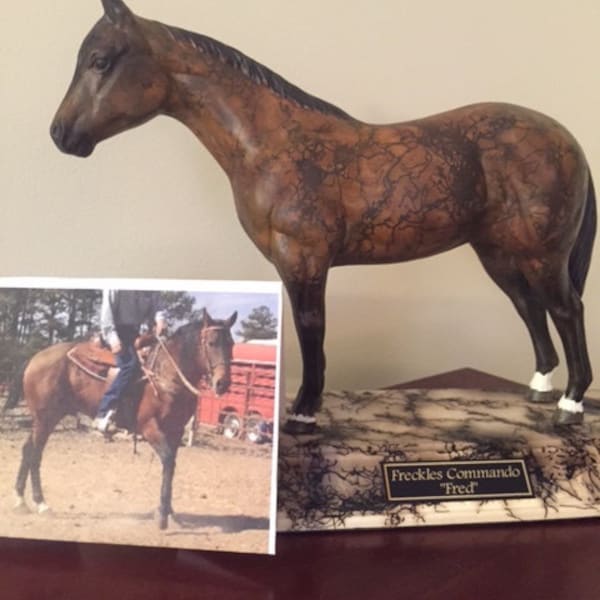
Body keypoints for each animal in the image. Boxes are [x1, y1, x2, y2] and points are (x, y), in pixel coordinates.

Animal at [12, 310, 237, 528]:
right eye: (211, 343)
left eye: (231, 343)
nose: (222, 383)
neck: (165, 374)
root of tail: (35, 358)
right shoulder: (150, 427)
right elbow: (167, 461)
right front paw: (162, 516)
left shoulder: (176, 431)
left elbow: (171, 465)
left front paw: (169, 512)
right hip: (45, 417)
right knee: (36, 454)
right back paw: (41, 504)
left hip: (45, 418)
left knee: (27, 449)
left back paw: (20, 501)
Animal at [51, 0, 596, 432]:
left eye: (100, 60)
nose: (60, 133)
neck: (272, 145)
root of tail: (564, 140)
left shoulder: (304, 259)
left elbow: (311, 328)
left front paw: (303, 411)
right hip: (500, 254)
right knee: (530, 308)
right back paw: (540, 387)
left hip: (543, 254)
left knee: (567, 310)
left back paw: (569, 404)